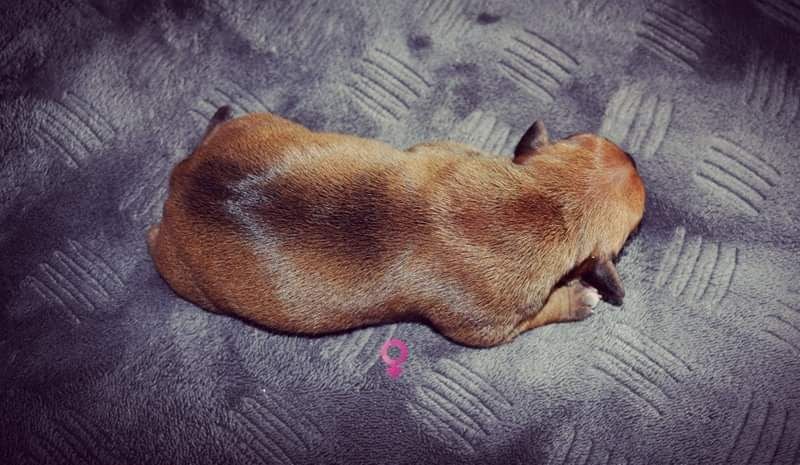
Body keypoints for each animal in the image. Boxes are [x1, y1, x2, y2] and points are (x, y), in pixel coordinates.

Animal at [147, 107, 645, 347]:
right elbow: (542, 313)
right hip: (183, 276)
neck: (546, 200)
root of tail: (181, 177)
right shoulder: (490, 327)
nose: (634, 157)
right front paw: (577, 298)